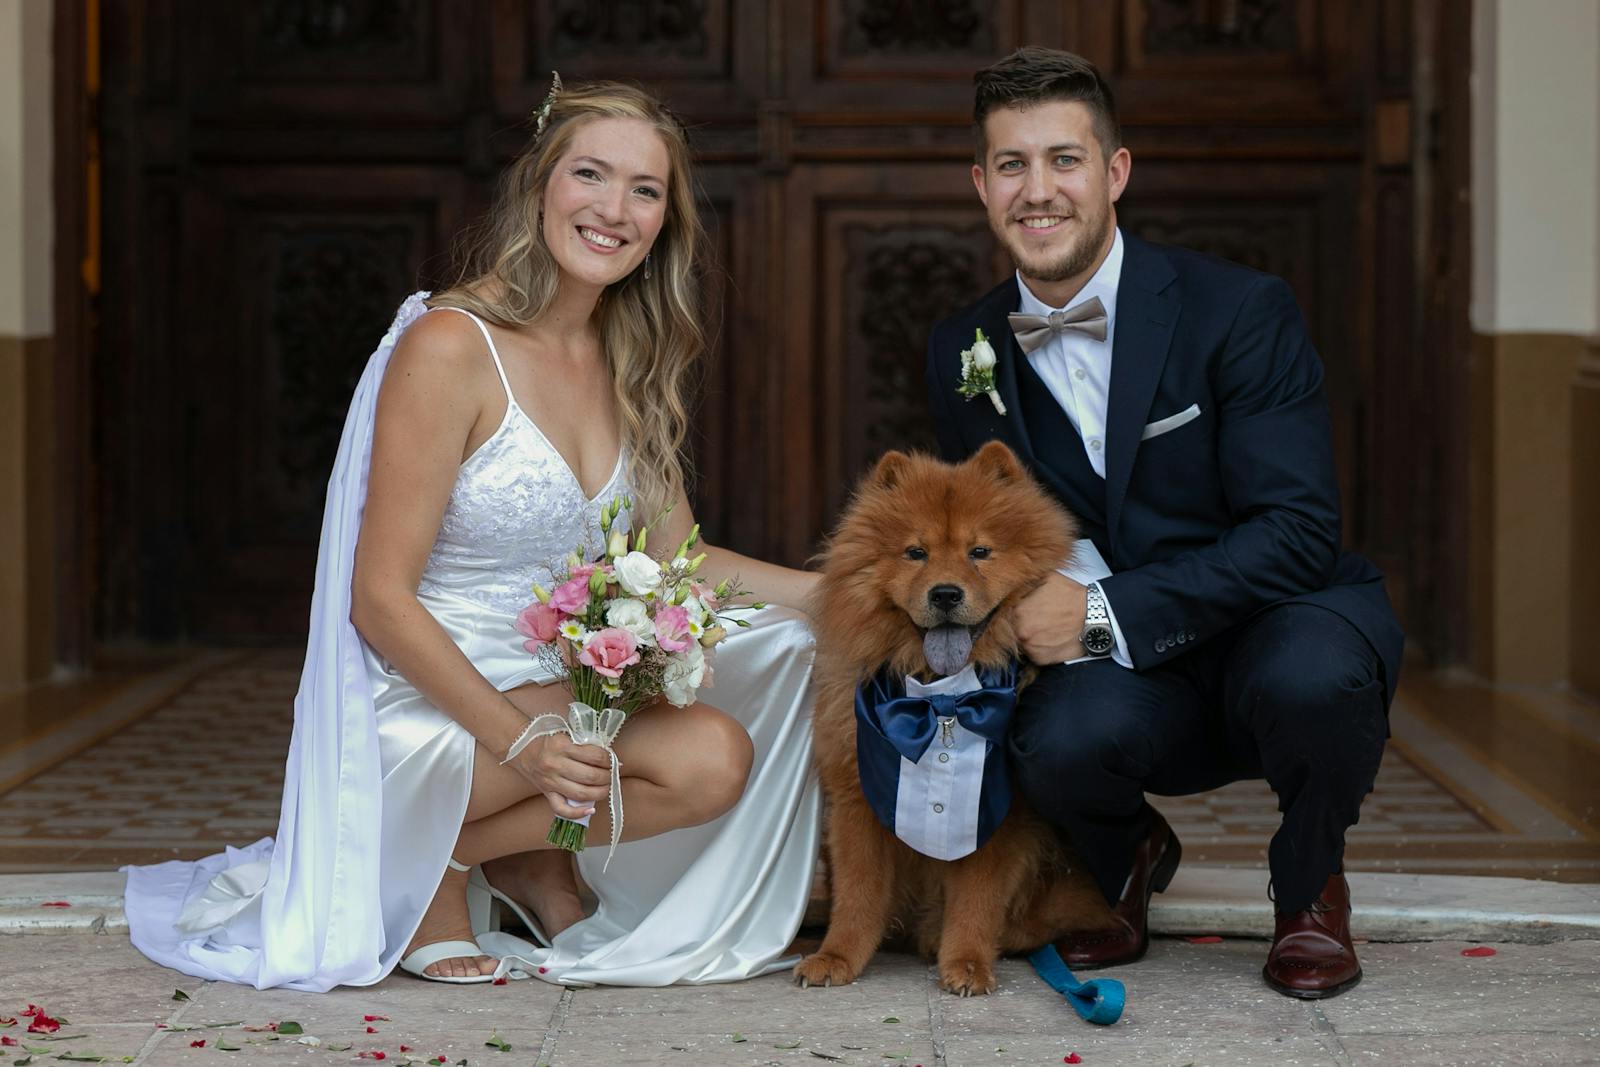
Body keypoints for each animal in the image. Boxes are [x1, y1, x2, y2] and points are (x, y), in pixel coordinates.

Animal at [793, 438, 1107, 998]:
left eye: (979, 552)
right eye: (915, 553)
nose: (944, 593)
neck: (939, 698)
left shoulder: (999, 815)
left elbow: (976, 900)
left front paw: (966, 963)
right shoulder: (857, 798)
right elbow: (857, 895)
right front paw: (836, 957)